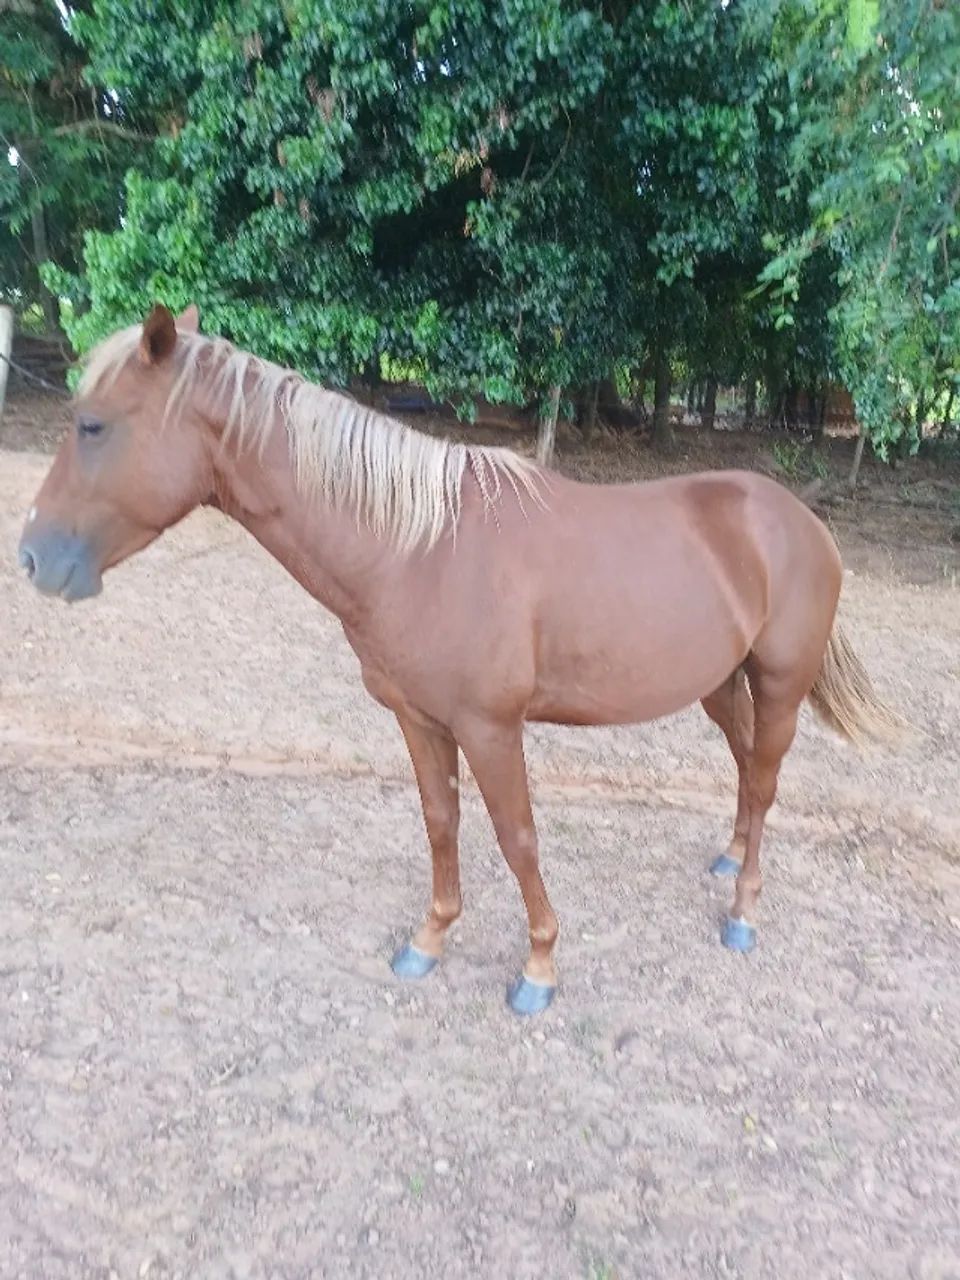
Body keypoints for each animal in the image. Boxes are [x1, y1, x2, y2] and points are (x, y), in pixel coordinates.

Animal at [18, 304, 901, 1015]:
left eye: (92, 425)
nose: (32, 559)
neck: (417, 550)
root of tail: (799, 521)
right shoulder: (419, 720)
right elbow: (441, 823)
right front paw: (430, 939)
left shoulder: (490, 727)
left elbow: (518, 836)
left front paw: (539, 967)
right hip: (719, 684)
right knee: (746, 769)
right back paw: (727, 859)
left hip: (780, 684)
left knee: (767, 777)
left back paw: (744, 912)